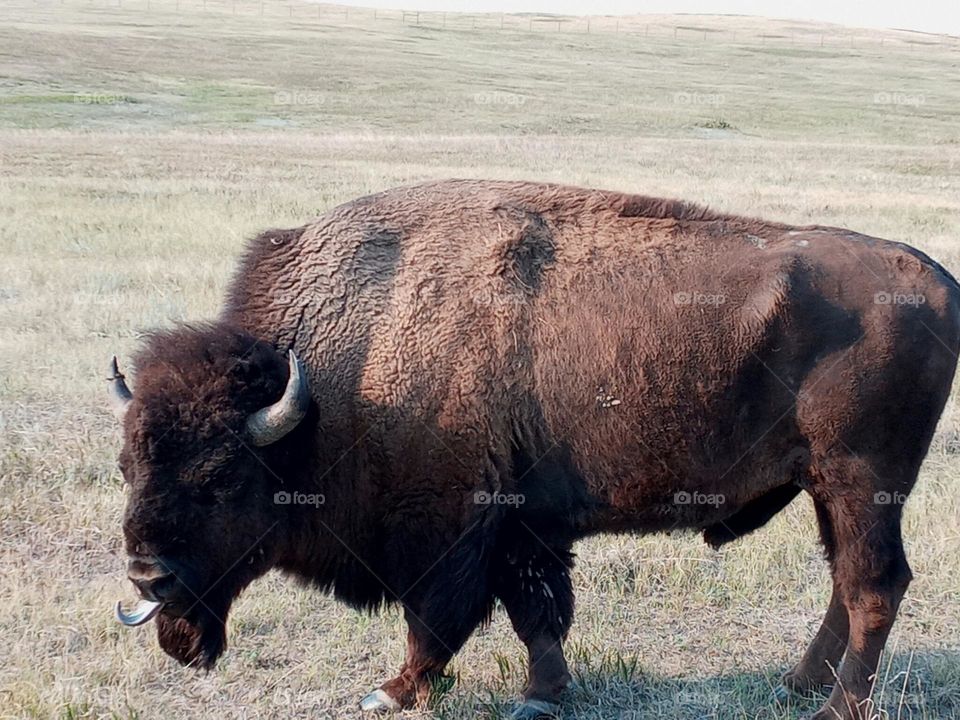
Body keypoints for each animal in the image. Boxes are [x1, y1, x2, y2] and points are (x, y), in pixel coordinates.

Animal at [110, 180, 960, 720]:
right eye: (127, 466)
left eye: (220, 477)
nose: (148, 576)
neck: (333, 376)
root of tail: (937, 279)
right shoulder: (522, 529)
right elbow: (536, 613)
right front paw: (542, 695)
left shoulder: (452, 535)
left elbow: (438, 622)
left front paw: (392, 692)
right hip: (825, 488)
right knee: (845, 583)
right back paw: (796, 684)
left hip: (862, 483)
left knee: (874, 586)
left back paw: (836, 708)